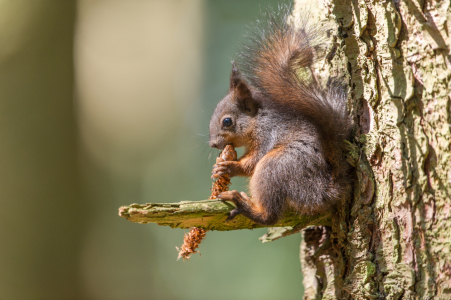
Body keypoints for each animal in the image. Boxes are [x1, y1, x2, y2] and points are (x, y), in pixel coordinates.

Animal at [210, 5, 354, 225]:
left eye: (227, 121)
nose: (213, 144)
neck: (258, 120)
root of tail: (323, 191)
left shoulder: (268, 134)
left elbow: (252, 161)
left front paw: (229, 167)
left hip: (276, 166)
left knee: (270, 216)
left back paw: (244, 205)